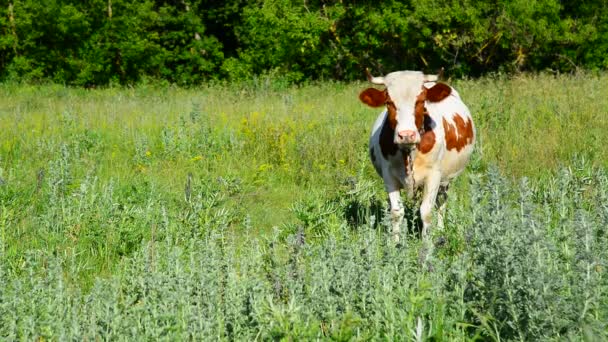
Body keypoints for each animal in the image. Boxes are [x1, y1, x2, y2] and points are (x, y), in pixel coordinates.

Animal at [358, 69, 478, 242]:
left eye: (421, 101)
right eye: (389, 102)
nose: (406, 135)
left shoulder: (434, 175)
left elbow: (426, 211)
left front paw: (426, 243)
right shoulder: (389, 176)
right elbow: (396, 212)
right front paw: (395, 243)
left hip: (446, 179)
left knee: (441, 202)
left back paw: (440, 230)